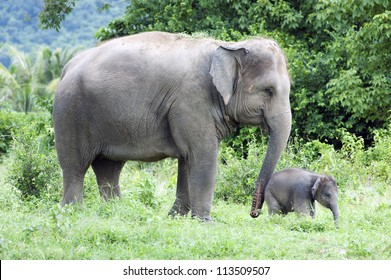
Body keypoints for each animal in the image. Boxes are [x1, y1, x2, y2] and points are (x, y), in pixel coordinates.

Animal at [52, 31, 290, 221]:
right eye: (268, 90)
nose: (254, 214)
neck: (228, 46)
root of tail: (67, 67)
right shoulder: (191, 100)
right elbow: (203, 155)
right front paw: (205, 223)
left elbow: (187, 160)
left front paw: (175, 218)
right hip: (70, 112)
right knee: (75, 167)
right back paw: (73, 212)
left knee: (108, 168)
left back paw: (116, 212)